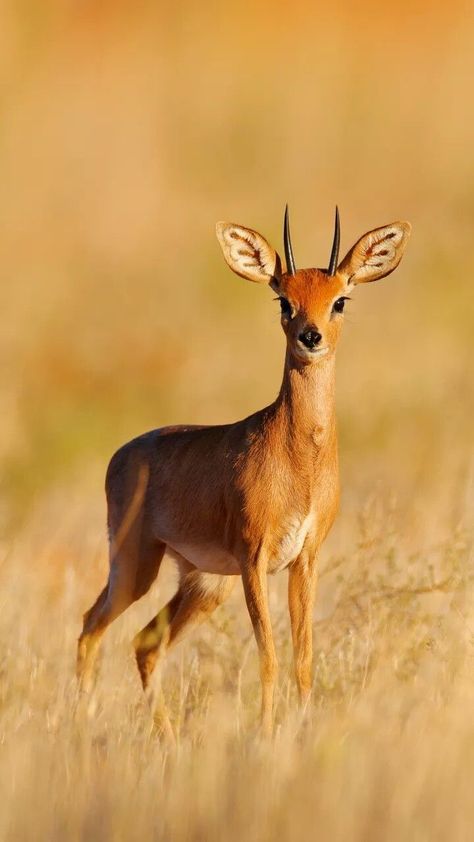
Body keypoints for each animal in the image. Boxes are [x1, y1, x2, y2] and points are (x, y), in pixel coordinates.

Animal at [78, 207, 412, 732]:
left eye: (339, 300)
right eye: (284, 299)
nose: (310, 336)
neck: (299, 462)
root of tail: (123, 452)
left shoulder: (305, 560)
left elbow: (303, 658)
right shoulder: (254, 560)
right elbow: (269, 657)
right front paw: (266, 734)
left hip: (203, 583)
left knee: (144, 643)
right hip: (134, 565)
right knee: (91, 626)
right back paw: (77, 726)